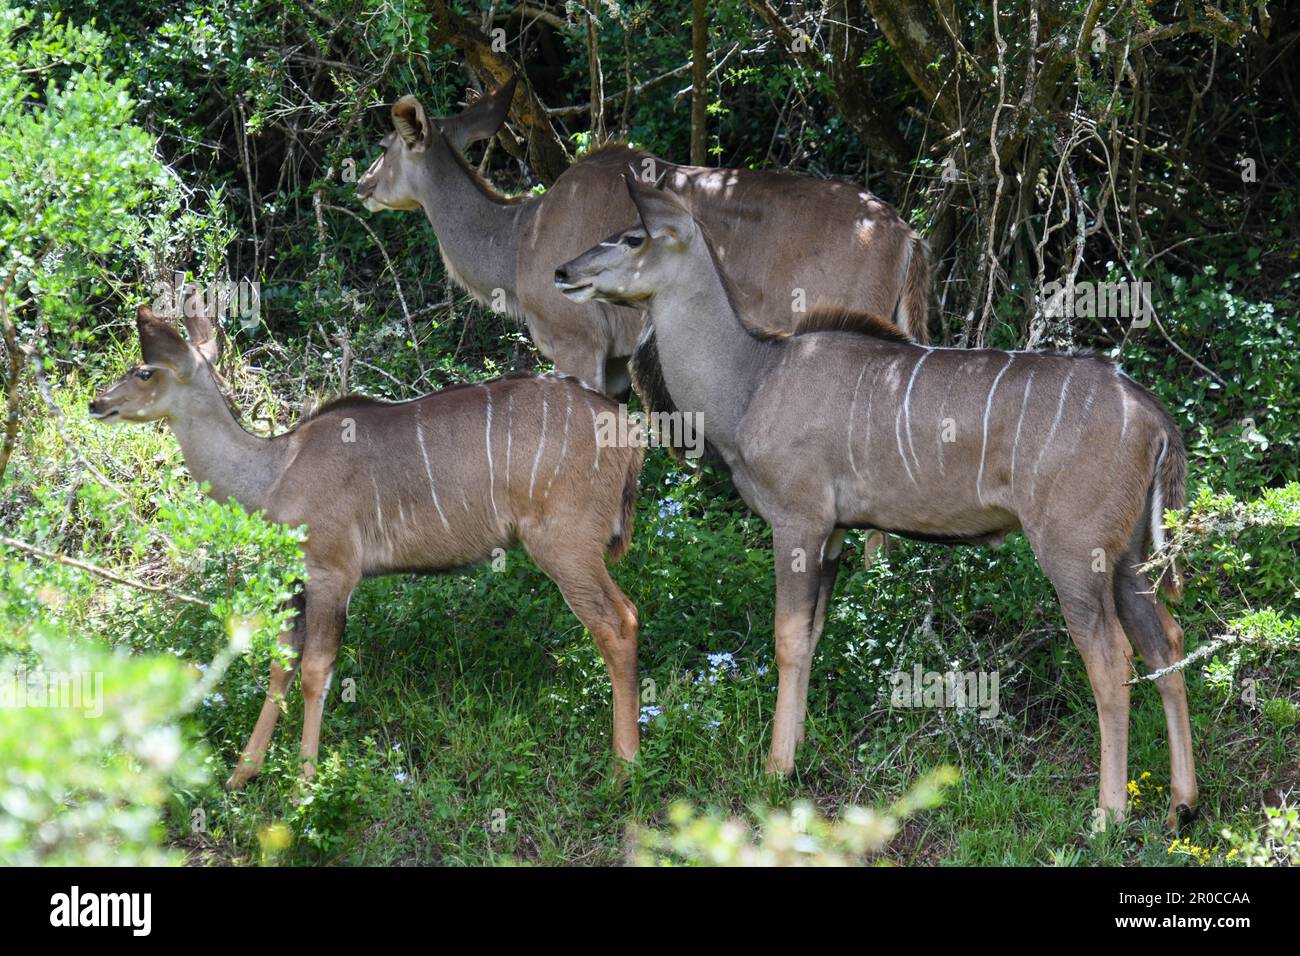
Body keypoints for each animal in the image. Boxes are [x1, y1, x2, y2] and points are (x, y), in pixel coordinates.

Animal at [89, 304, 642, 785]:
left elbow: (316, 670)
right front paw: (241, 774)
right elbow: (280, 665)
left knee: (618, 622)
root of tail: (629, 433)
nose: (98, 403)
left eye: (145, 372)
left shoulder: (332, 573)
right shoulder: (297, 581)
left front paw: (305, 784)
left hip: (565, 546)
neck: (276, 470)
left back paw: (623, 768)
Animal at [353, 75, 925, 400]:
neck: (519, 236)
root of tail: (904, 235)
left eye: (384, 145)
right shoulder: (618, 366)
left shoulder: (577, 346)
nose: (361, 185)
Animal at [559, 178, 1196, 832]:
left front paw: (775, 770)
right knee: (1166, 643)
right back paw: (1182, 804)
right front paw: (797, 752)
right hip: (1128, 559)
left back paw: (1107, 815)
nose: (563, 271)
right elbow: (812, 635)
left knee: (1111, 660)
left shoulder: (798, 522)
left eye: (632, 237)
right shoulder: (835, 533)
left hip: (1075, 554)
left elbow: (787, 639)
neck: (754, 379)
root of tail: (1154, 419)